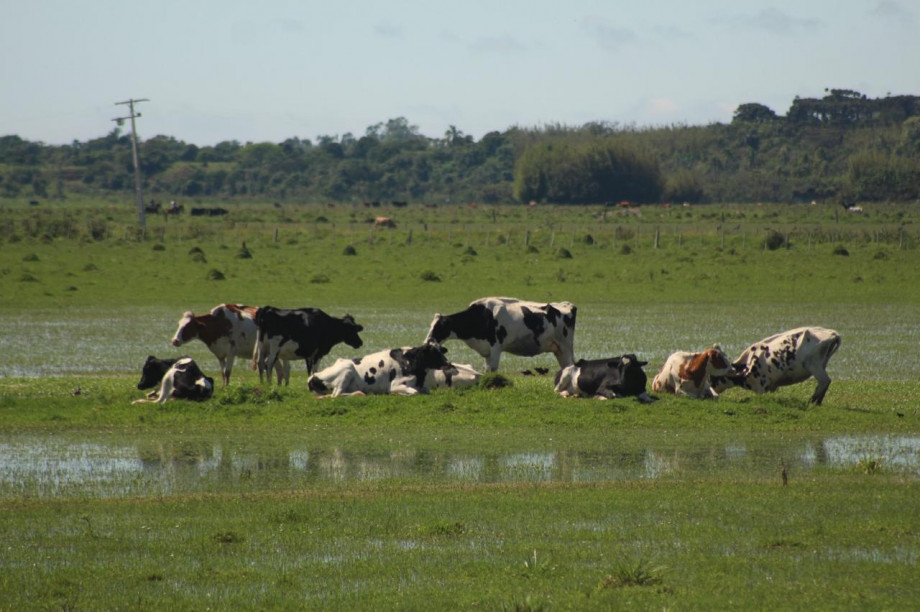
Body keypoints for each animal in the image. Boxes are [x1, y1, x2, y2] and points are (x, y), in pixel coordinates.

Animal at [308, 342, 452, 400]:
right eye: (433, 352)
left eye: (441, 350)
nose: (448, 363)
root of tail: (314, 375)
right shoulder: (394, 385)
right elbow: (414, 392)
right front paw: (399, 394)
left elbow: (425, 391)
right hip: (346, 370)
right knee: (336, 395)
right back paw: (359, 393)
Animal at [708, 328, 844, 404]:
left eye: (712, 377)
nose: (711, 393)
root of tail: (832, 333)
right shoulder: (771, 386)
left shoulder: (761, 386)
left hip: (814, 365)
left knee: (824, 381)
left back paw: (813, 401)